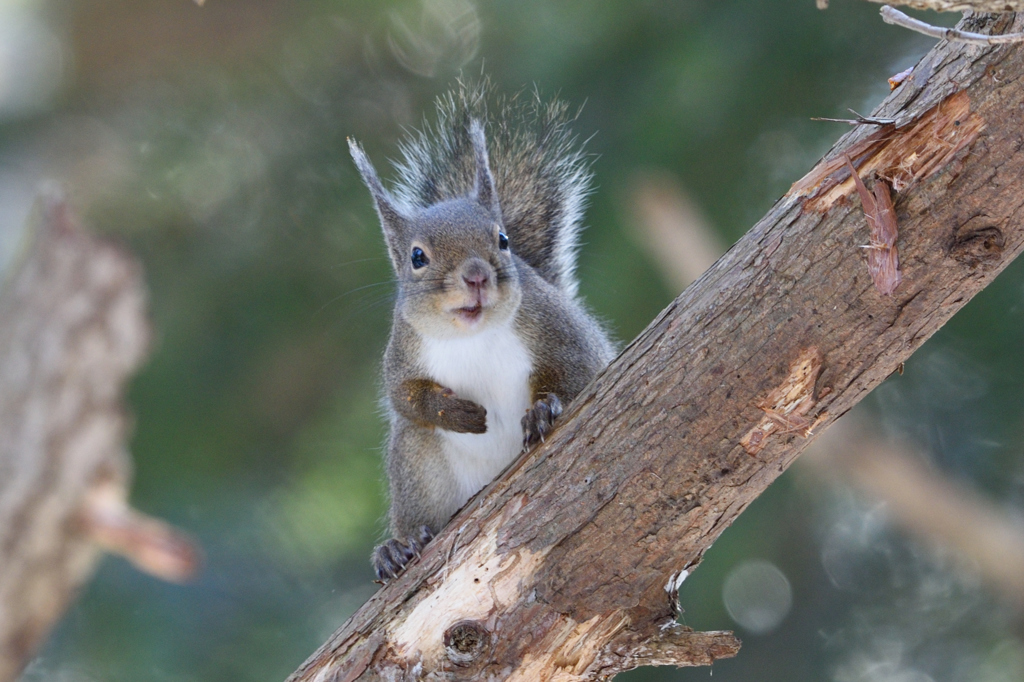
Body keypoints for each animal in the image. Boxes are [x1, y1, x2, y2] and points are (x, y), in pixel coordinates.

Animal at [348, 80, 610, 577]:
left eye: (502, 239)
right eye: (417, 257)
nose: (476, 276)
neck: (472, 335)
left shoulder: (558, 329)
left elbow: (577, 372)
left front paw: (542, 410)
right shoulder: (402, 352)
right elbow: (405, 397)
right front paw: (456, 412)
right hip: (417, 462)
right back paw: (397, 546)